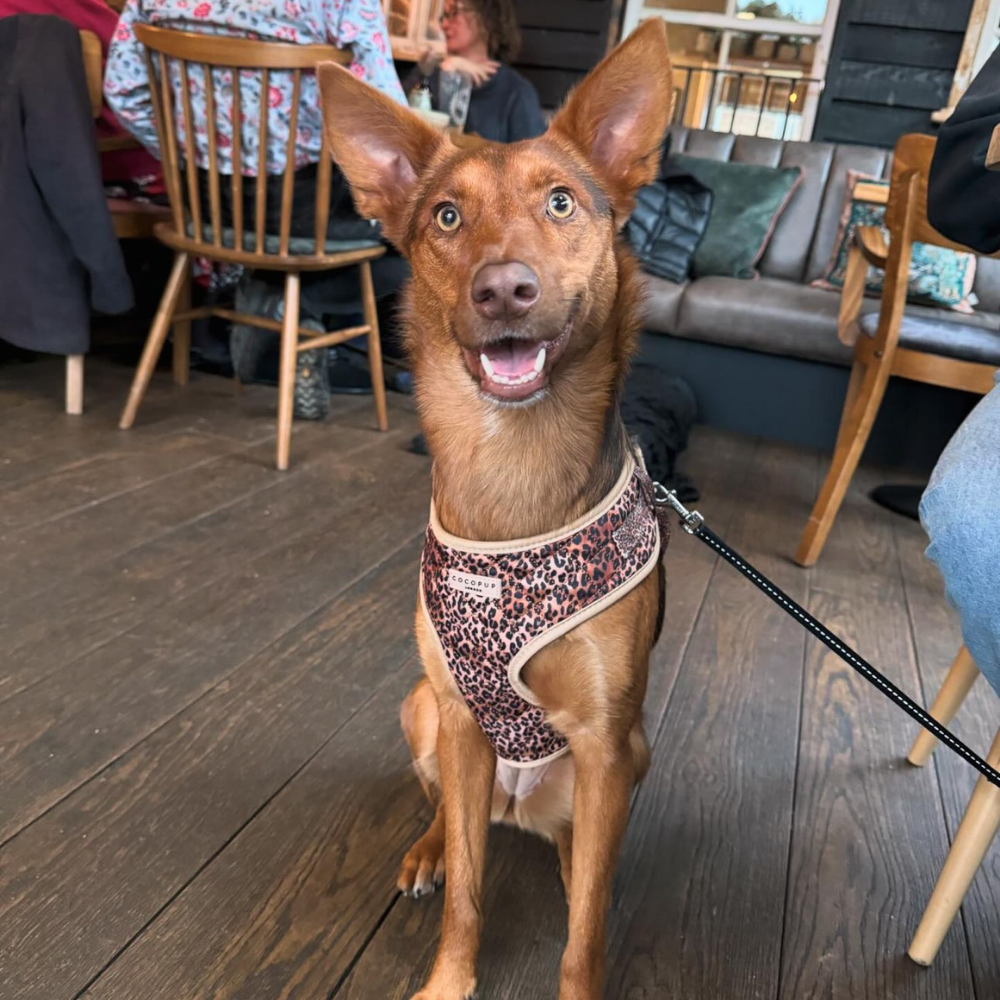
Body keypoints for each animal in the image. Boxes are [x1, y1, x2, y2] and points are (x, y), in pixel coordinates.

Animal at [322, 21, 672, 992]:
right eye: (447, 217)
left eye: (561, 203)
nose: (504, 289)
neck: (511, 467)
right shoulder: (460, 720)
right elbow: (468, 906)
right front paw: (447, 980)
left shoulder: (604, 744)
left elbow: (586, 931)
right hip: (425, 711)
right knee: (456, 817)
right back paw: (428, 850)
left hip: (626, 758)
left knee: (582, 860)